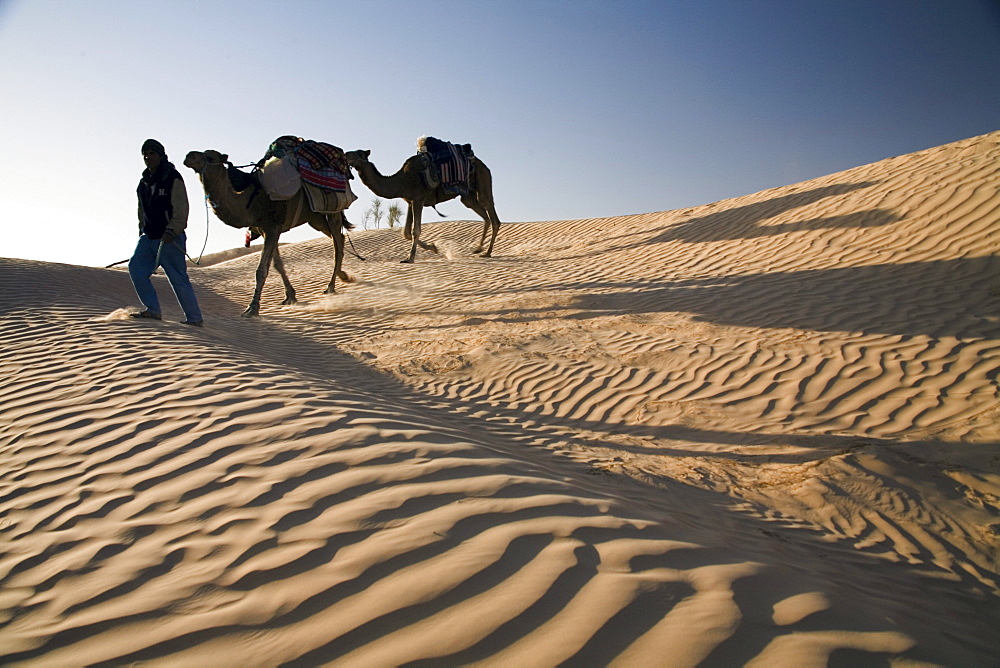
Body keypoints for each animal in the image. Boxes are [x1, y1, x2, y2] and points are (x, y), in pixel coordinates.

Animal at [186, 150, 354, 318]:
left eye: (210, 156)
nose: (189, 156)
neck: (251, 204)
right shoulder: (268, 230)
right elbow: (277, 264)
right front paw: (290, 296)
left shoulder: (272, 227)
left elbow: (261, 270)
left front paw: (252, 308)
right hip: (315, 218)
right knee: (339, 238)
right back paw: (343, 275)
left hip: (333, 211)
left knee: (336, 243)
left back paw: (331, 286)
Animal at [344, 145, 500, 262]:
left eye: (359, 153)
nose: (345, 154)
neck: (400, 180)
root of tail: (484, 165)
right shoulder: (410, 201)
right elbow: (406, 232)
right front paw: (434, 247)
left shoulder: (418, 199)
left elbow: (415, 230)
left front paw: (410, 258)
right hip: (468, 195)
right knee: (483, 215)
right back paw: (479, 248)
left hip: (483, 178)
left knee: (492, 215)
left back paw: (487, 252)